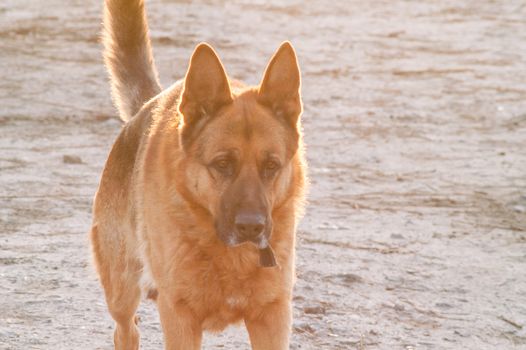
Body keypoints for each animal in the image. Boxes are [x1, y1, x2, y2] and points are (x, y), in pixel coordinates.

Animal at [88, 1, 308, 348]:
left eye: (271, 166)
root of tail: (148, 105)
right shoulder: (180, 317)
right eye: (222, 164)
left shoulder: (272, 318)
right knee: (126, 329)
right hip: (121, 291)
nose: (251, 227)